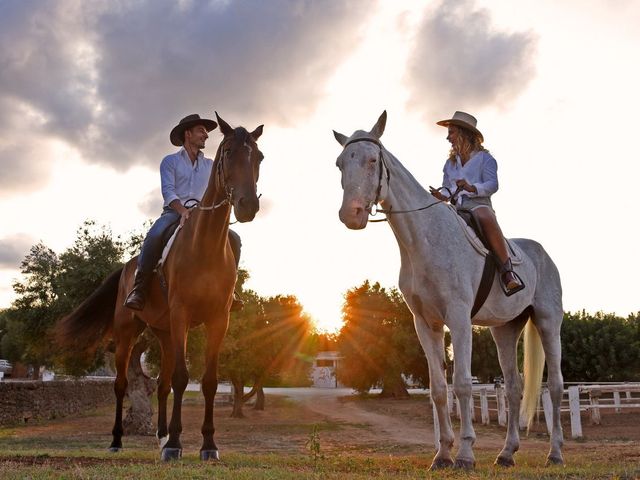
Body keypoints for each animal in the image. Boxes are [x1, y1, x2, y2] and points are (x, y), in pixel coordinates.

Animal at [56, 113, 264, 462]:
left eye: (259, 157)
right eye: (229, 152)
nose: (247, 206)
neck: (205, 245)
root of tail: (127, 267)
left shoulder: (218, 320)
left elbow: (207, 381)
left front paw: (207, 446)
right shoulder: (181, 314)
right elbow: (182, 378)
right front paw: (178, 445)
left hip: (165, 334)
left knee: (162, 384)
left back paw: (162, 437)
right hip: (128, 332)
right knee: (122, 384)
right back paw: (118, 440)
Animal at [332, 111, 564, 468]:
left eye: (372, 160)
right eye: (341, 163)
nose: (351, 214)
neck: (425, 239)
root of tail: (543, 254)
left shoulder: (458, 319)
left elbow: (463, 384)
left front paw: (466, 455)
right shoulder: (425, 324)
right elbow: (439, 389)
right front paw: (442, 454)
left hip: (548, 322)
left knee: (554, 387)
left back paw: (555, 453)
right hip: (505, 330)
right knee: (513, 387)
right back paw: (506, 453)